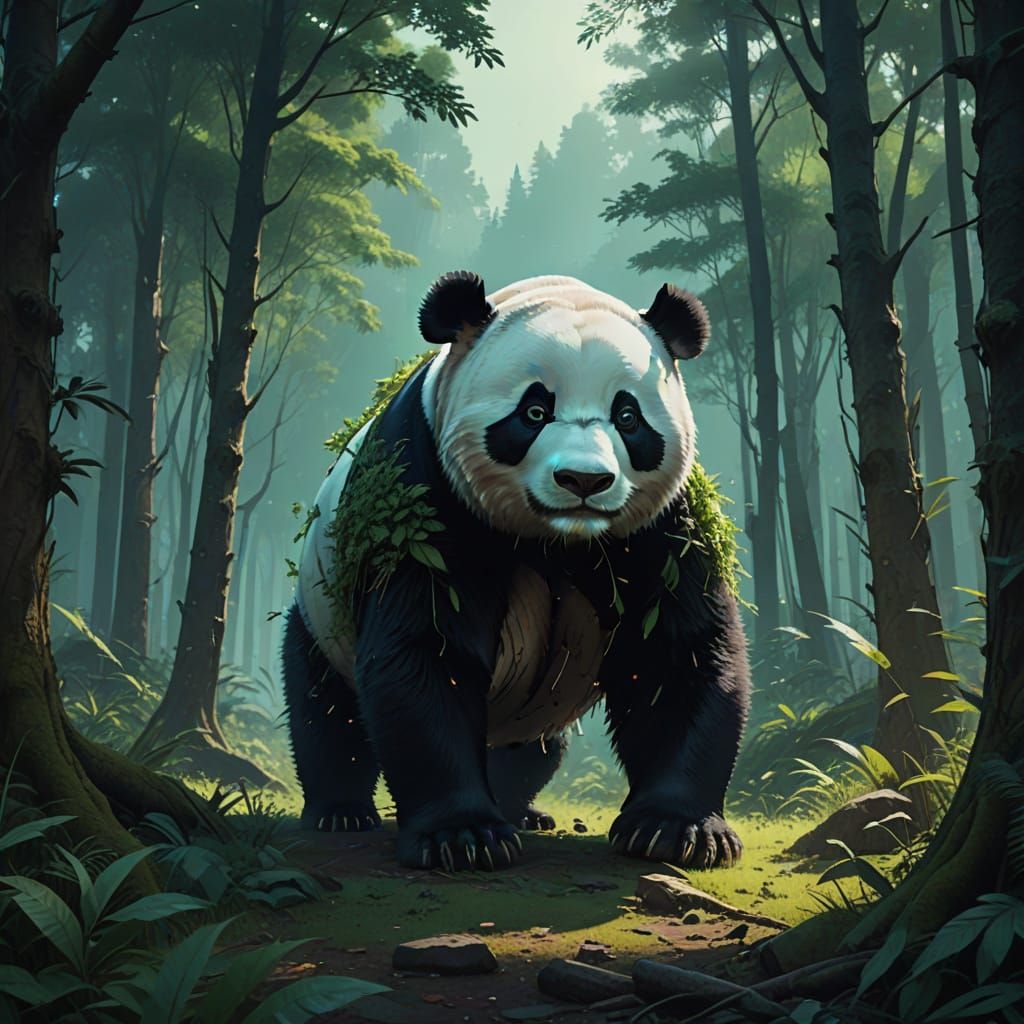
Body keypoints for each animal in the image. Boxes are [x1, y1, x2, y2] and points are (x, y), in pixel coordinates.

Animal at [282, 272, 750, 872]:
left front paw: (678, 831)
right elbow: (428, 648)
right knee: (325, 705)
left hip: (536, 697)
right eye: (533, 412)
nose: (584, 481)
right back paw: (340, 811)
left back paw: (519, 809)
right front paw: (462, 837)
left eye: (627, 417)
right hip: (322, 608)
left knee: (533, 746)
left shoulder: (663, 526)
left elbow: (678, 651)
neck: (559, 539)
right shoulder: (428, 491)